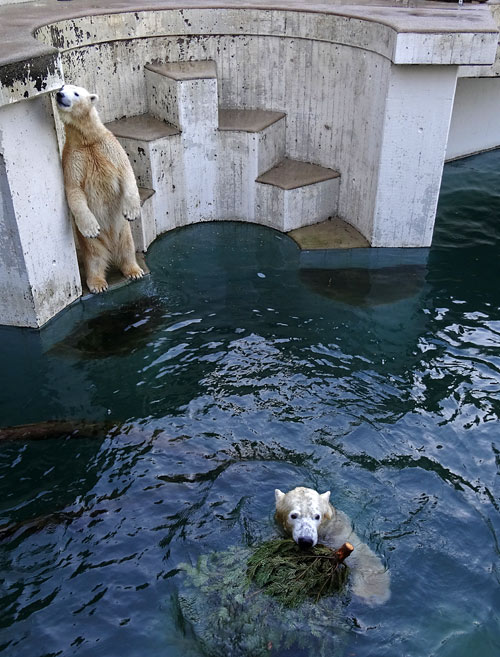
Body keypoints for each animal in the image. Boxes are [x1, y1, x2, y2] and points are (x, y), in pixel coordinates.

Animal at [55, 84, 144, 292]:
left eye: (76, 92)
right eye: (62, 87)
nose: (59, 94)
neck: (87, 140)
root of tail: (110, 248)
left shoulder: (110, 147)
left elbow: (127, 174)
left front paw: (132, 211)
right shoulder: (73, 159)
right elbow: (74, 191)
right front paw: (91, 228)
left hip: (123, 231)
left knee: (127, 248)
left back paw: (134, 270)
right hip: (91, 244)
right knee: (94, 258)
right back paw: (97, 283)